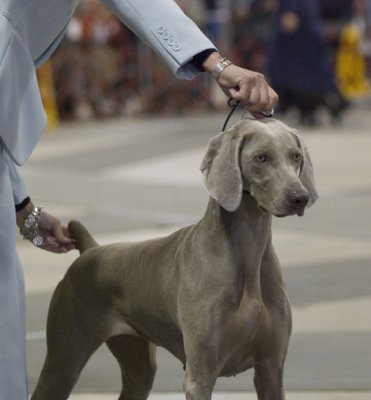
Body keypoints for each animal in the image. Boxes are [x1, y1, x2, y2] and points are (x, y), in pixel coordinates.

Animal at [30, 118, 318, 400]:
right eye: (261, 157)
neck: (248, 251)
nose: (300, 197)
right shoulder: (200, 377)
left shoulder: (271, 370)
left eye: (295, 156)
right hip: (65, 358)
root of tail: (90, 250)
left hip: (138, 363)